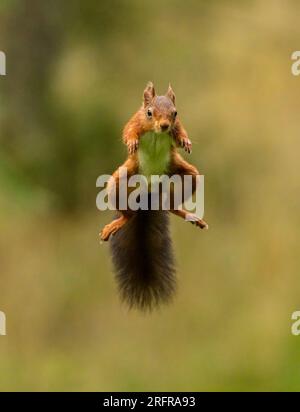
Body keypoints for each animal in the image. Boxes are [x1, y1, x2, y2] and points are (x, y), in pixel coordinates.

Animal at [99, 82, 207, 310]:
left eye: (175, 113)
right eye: (149, 112)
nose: (165, 126)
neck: (157, 133)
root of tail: (149, 189)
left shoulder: (177, 125)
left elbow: (181, 130)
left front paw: (185, 140)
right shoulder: (135, 119)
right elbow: (128, 130)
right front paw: (131, 141)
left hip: (185, 173)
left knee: (173, 203)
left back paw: (189, 215)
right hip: (121, 179)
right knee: (127, 212)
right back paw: (118, 223)